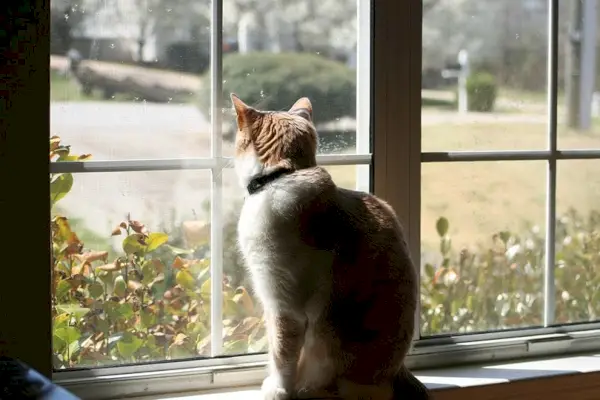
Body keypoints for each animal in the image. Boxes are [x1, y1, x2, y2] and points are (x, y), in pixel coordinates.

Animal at [230, 94, 432, 400]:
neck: (284, 174)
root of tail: (399, 370)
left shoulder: (283, 305)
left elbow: (281, 354)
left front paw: (277, 390)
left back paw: (307, 389)